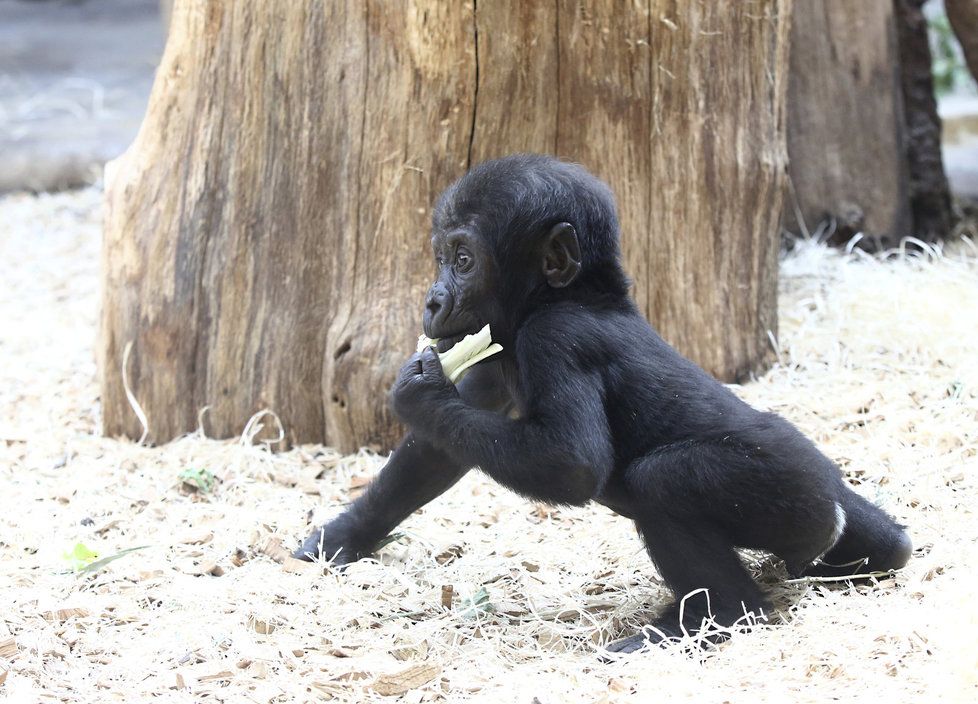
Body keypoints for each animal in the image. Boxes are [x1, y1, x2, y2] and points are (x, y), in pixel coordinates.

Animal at [294, 154, 912, 656]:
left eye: (464, 259)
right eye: (441, 256)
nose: (432, 300)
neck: (575, 294)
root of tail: (830, 494)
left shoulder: (555, 337)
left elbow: (572, 462)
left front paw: (418, 392)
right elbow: (436, 451)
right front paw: (341, 538)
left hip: (795, 496)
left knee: (662, 481)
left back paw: (715, 617)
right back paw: (880, 550)